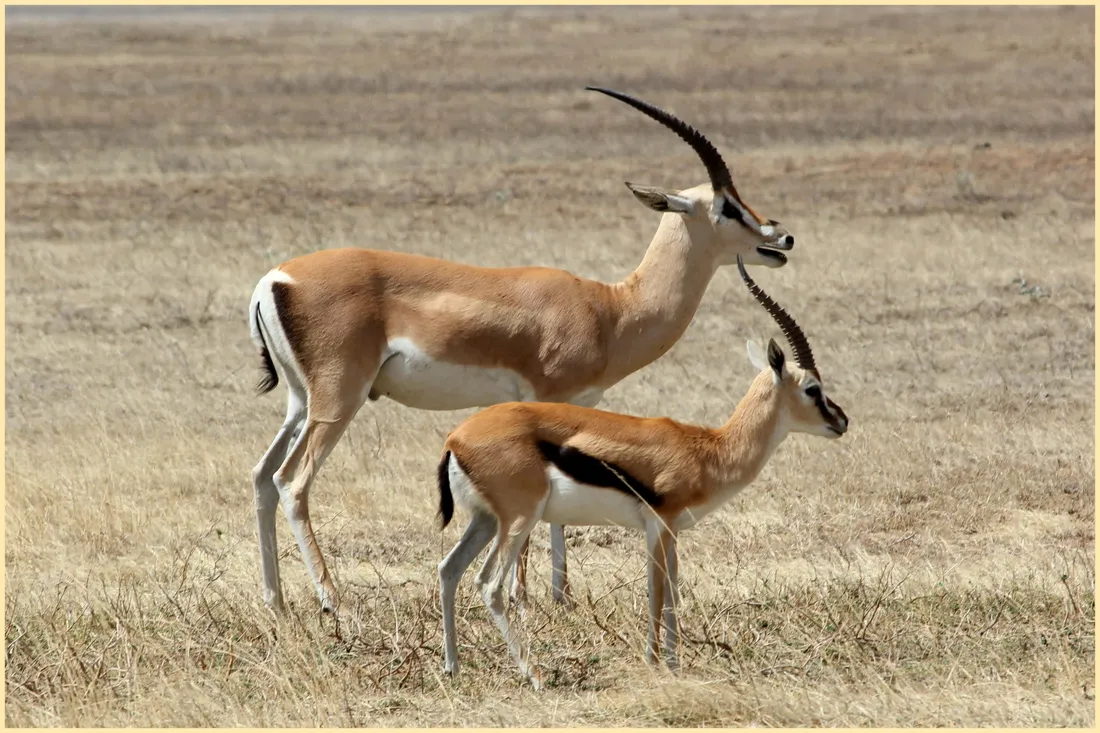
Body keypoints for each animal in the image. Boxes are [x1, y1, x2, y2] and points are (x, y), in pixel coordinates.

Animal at [249, 86, 796, 616]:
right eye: (726, 206)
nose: (782, 236)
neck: (611, 309)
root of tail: (274, 278)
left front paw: (561, 597)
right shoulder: (543, 396)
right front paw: (525, 598)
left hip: (301, 401)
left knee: (262, 476)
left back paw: (277, 602)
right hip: (339, 399)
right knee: (292, 481)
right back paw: (333, 603)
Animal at [435, 255, 848, 688]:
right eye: (813, 389)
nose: (842, 421)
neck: (709, 449)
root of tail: (456, 438)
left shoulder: (674, 532)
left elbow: (673, 597)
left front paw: (674, 666)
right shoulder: (657, 526)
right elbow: (657, 595)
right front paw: (655, 665)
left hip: (486, 520)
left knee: (448, 570)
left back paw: (453, 667)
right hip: (518, 520)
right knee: (489, 585)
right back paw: (533, 676)